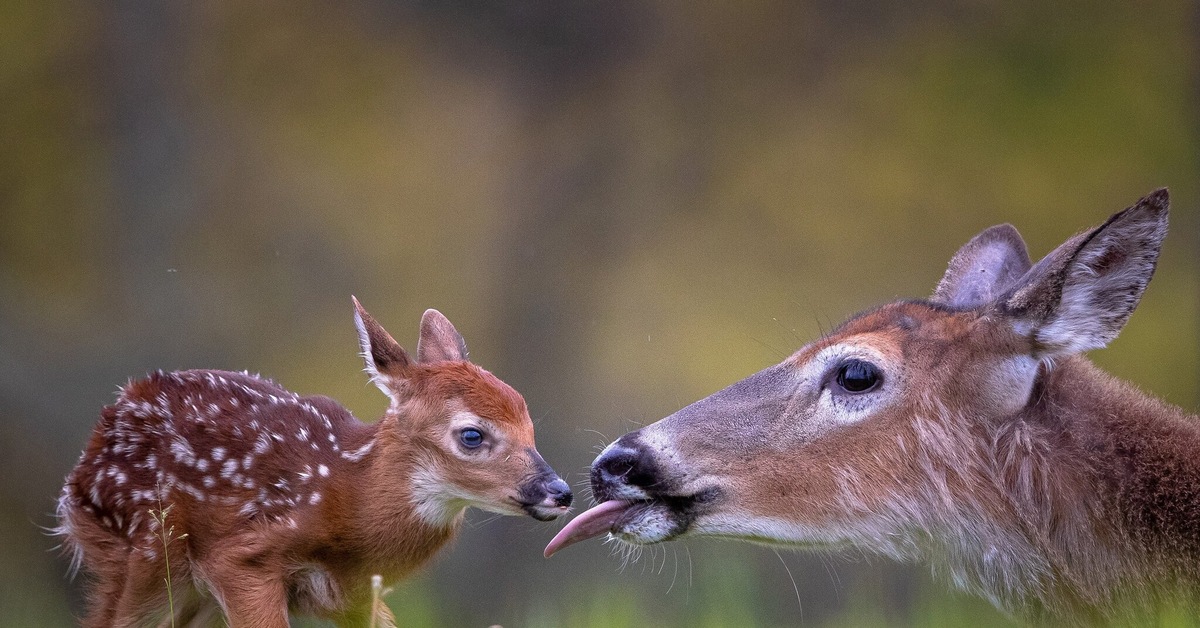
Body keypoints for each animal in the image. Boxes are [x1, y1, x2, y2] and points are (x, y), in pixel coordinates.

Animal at [58, 301, 573, 628]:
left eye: (529, 424)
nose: (561, 492)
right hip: (142, 550)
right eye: (472, 435)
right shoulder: (241, 557)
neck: (350, 501)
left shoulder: (359, 596)